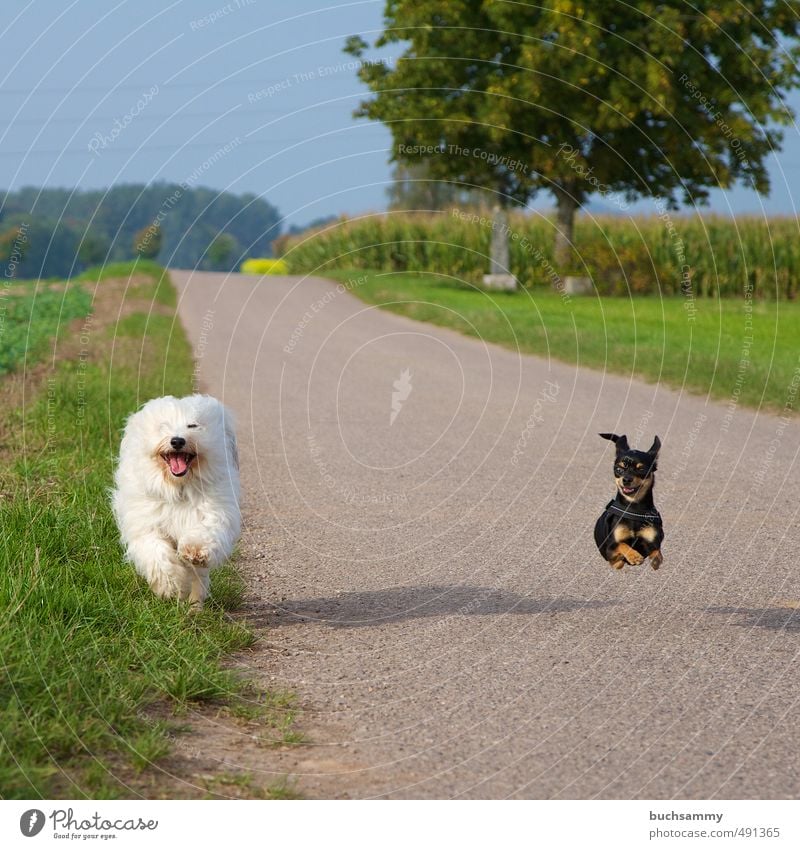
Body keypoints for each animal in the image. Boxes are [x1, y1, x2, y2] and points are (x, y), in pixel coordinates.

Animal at [111, 394, 241, 608]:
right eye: (164, 426)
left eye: (193, 425)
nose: (177, 441)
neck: (178, 488)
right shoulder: (146, 524)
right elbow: (156, 553)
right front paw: (171, 586)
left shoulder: (213, 512)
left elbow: (205, 532)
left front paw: (195, 551)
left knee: (199, 576)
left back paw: (195, 605)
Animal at [592, 430, 664, 568]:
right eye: (619, 469)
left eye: (641, 469)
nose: (626, 479)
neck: (633, 507)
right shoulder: (610, 548)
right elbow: (622, 544)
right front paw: (634, 556)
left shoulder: (652, 542)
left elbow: (656, 552)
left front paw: (655, 561)